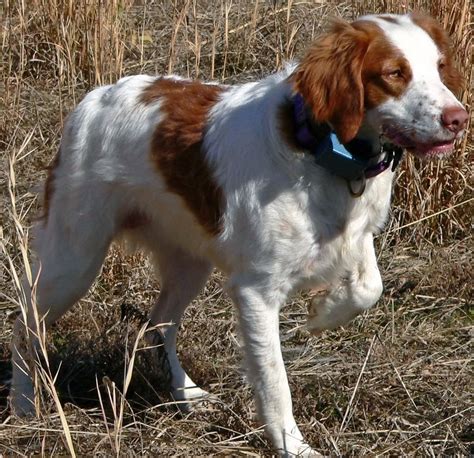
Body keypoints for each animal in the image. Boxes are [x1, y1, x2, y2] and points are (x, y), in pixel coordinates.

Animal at [10, 12, 466, 456]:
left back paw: (186, 394)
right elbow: (274, 380)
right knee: (23, 322)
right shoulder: (256, 291)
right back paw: (24, 404)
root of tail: (94, 98)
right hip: (75, 259)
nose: (458, 118)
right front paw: (292, 445)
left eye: (440, 67)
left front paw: (323, 313)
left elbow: (370, 285)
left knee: (156, 326)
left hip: (187, 263)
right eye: (394, 73)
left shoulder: (358, 235)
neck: (323, 152)